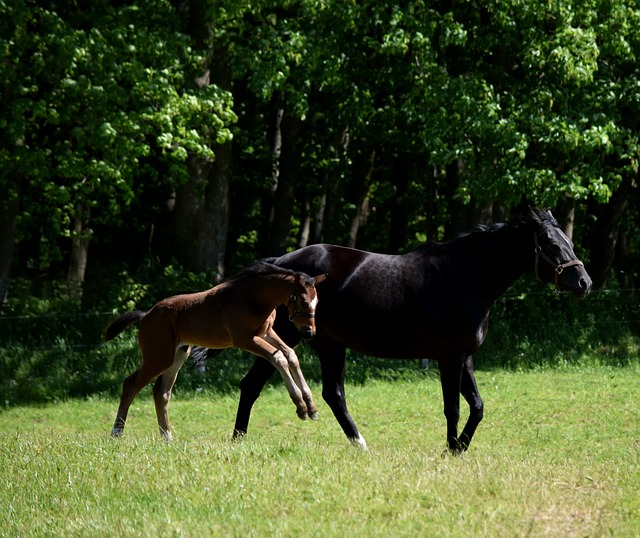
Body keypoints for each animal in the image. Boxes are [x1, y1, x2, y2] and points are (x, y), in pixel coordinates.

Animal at [228, 207, 592, 450]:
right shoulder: (449, 356)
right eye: (549, 244)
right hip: (298, 338)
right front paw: (451, 449)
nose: (584, 282)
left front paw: (460, 447)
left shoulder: (466, 357)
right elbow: (453, 407)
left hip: (324, 343)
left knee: (317, 392)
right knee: (268, 386)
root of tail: (280, 263)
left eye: (568, 241)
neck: (465, 278)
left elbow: (477, 407)